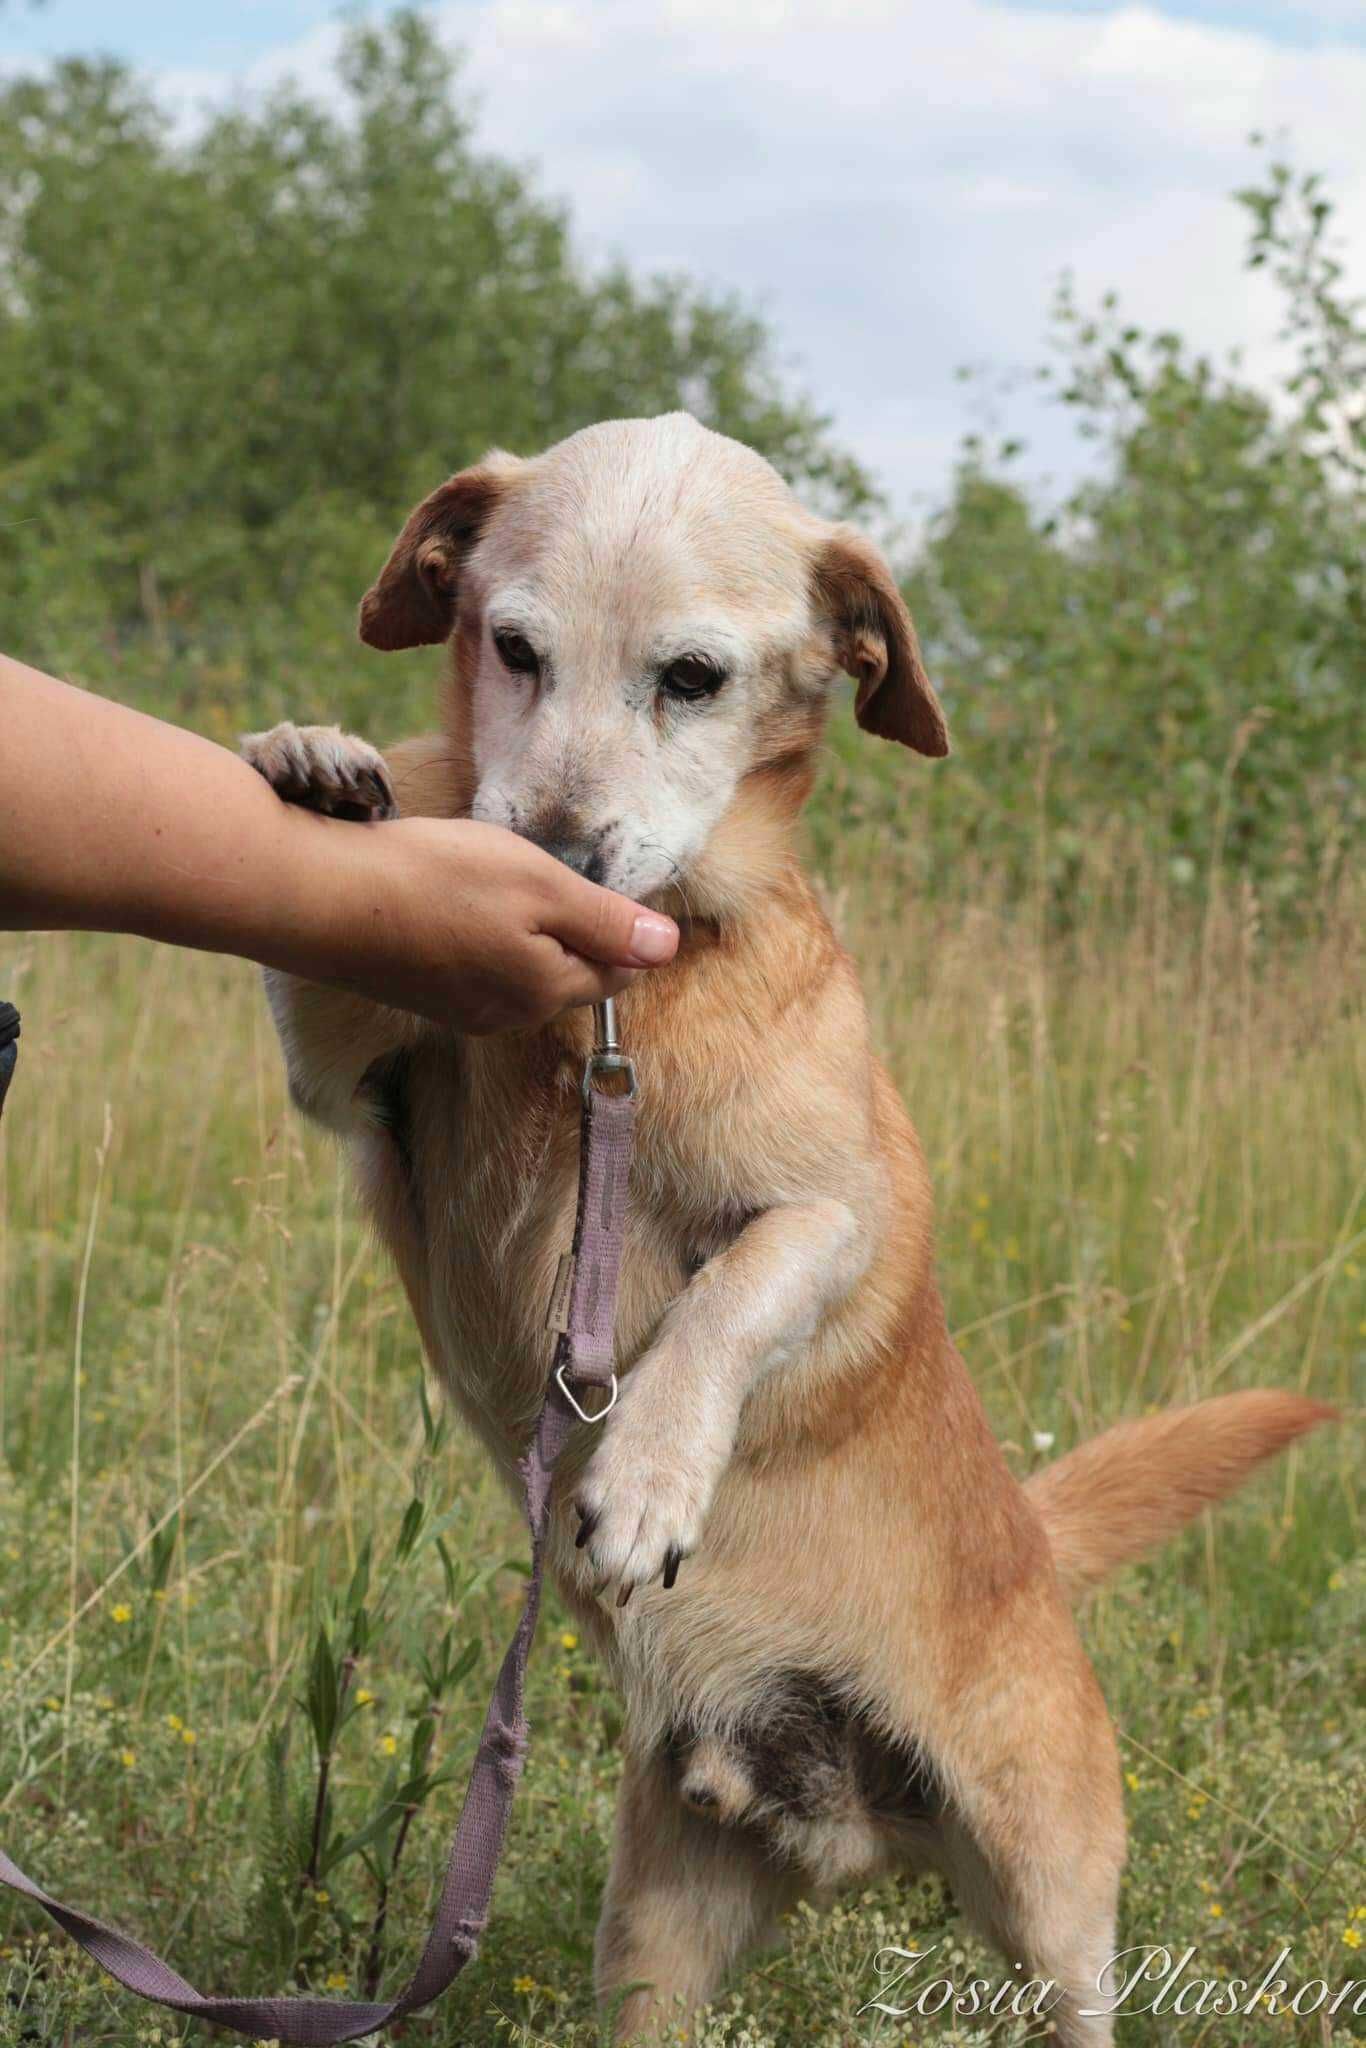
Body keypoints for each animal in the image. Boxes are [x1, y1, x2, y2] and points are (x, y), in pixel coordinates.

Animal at [240, 407, 1327, 2039]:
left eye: (692, 677)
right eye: (511, 645)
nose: (555, 856)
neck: (614, 1009)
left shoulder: (839, 1215)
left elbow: (725, 1295)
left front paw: (646, 1478)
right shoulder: (357, 1090)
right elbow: (327, 984)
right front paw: (320, 759)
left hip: (1050, 1891)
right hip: (658, 1940)